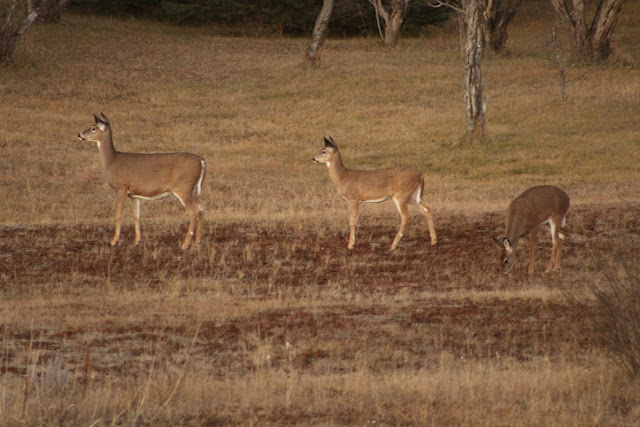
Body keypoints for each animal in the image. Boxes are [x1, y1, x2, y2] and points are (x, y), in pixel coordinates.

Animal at [76, 113, 208, 249]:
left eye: (93, 128)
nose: (79, 134)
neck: (111, 161)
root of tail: (201, 161)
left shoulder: (121, 187)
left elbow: (118, 213)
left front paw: (114, 241)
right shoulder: (133, 194)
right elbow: (136, 216)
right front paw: (137, 240)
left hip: (183, 187)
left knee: (193, 211)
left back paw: (185, 244)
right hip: (192, 190)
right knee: (202, 208)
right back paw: (197, 241)